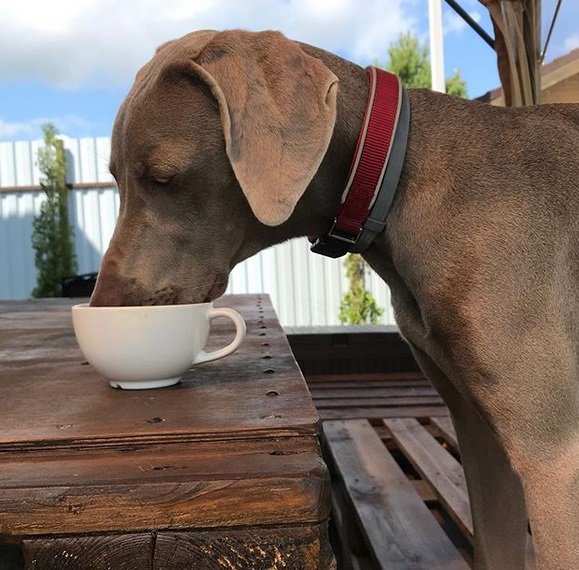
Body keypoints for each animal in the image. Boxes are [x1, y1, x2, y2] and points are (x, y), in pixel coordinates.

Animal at [92, 31, 579, 568]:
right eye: (114, 176)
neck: (394, 175)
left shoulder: (553, 457)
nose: (102, 307)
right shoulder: (477, 431)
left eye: (162, 177)